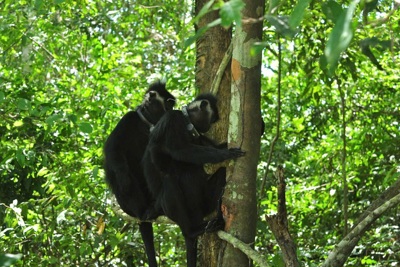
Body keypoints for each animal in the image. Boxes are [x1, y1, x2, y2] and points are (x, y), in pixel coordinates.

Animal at [104, 81, 176, 267]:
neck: (147, 123)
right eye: (169, 104)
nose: (172, 111)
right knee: (128, 182)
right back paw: (145, 211)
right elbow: (113, 147)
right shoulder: (128, 119)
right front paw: (124, 178)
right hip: (128, 203)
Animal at [142, 94, 245, 267]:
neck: (187, 123)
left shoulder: (199, 137)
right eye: (213, 118)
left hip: (205, 204)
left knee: (220, 174)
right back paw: (191, 232)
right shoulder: (173, 119)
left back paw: (216, 221)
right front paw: (227, 154)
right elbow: (180, 151)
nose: (209, 126)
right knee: (171, 181)